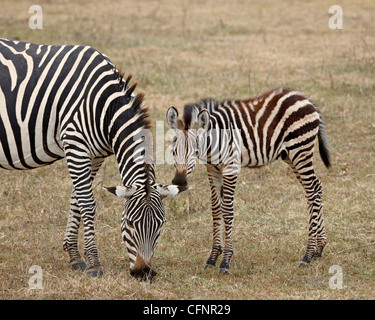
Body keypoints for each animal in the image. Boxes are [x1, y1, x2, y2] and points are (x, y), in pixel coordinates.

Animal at [0, 37, 187, 278]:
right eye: (130, 223)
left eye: (161, 225)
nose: (143, 273)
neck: (105, 107)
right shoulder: (76, 145)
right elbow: (87, 203)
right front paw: (94, 263)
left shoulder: (95, 155)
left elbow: (76, 200)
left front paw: (74, 255)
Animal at [167, 87, 332, 272]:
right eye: (173, 151)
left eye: (195, 151)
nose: (179, 181)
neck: (213, 142)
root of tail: (306, 99)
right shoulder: (213, 170)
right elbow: (216, 210)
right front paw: (213, 257)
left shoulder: (231, 167)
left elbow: (227, 210)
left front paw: (225, 260)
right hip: (290, 155)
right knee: (316, 187)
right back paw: (319, 248)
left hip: (300, 150)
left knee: (311, 192)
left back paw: (307, 255)